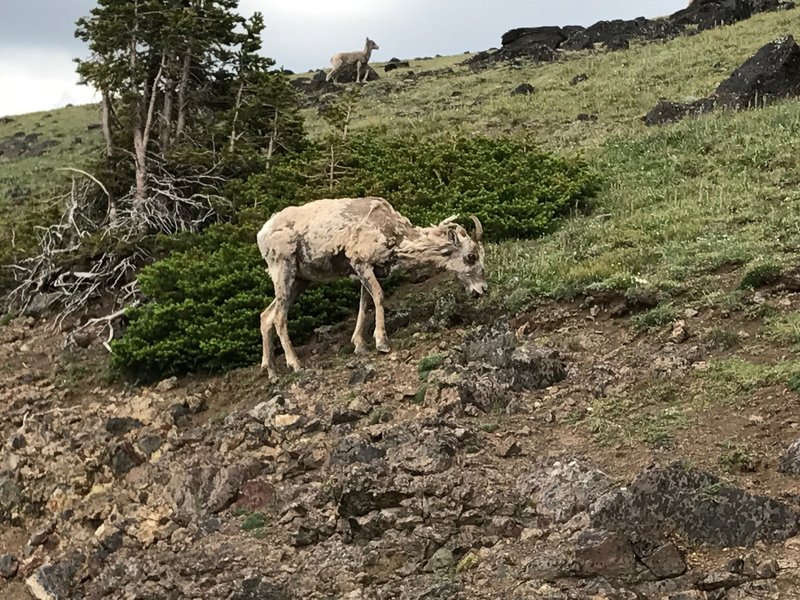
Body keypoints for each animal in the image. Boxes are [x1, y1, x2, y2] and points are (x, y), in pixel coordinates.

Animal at [256, 197, 484, 378]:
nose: (481, 290)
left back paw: (272, 372)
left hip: (300, 280)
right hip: (284, 270)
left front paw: (360, 345)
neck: (395, 236)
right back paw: (295, 364)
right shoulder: (362, 264)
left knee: (266, 316)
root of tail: (262, 234)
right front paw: (382, 343)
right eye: (471, 256)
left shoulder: (366, 270)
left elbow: (364, 304)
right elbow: (379, 297)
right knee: (279, 317)